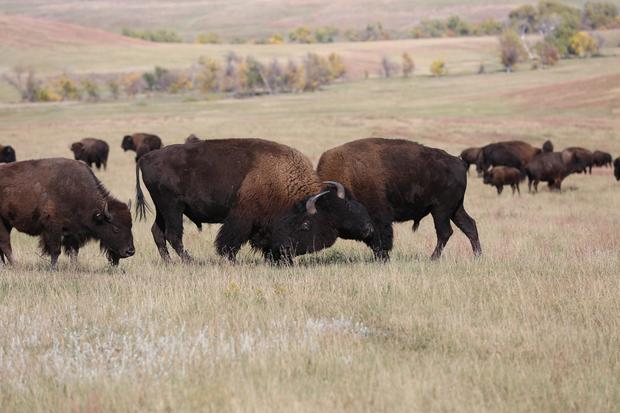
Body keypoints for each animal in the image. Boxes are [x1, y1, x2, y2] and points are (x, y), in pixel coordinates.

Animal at [0, 158, 135, 268]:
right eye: (116, 228)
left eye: (130, 226)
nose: (130, 251)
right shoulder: (54, 228)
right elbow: (56, 250)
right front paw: (53, 269)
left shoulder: (73, 232)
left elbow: (74, 252)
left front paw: (74, 268)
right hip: (3, 223)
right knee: (6, 245)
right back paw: (16, 265)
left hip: (7, 224)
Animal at [318, 138, 482, 260]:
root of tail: (459, 162)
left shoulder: (379, 217)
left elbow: (382, 239)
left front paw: (382, 258)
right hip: (455, 208)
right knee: (469, 226)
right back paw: (477, 257)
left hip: (441, 210)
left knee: (445, 232)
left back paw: (433, 259)